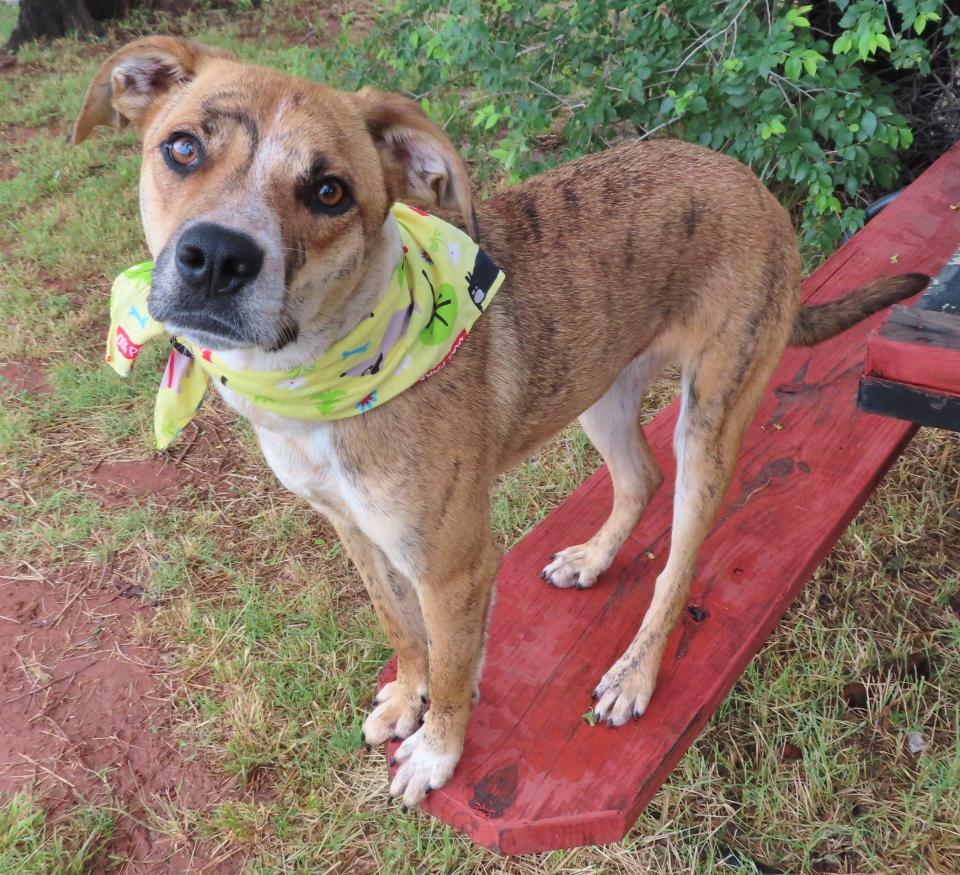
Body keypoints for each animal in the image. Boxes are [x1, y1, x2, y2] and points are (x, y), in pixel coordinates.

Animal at [71, 39, 928, 808]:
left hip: (710, 419)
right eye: (182, 148)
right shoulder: (353, 529)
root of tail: (753, 183)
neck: (318, 372)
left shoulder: (455, 567)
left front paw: (437, 751)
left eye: (329, 192)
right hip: (598, 386)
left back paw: (635, 671)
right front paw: (404, 699)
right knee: (639, 477)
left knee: (678, 561)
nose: (217, 257)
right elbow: (400, 627)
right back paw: (594, 558)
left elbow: (454, 672)